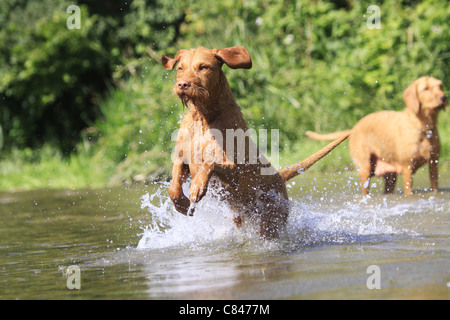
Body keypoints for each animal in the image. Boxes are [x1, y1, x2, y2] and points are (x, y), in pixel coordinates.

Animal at [162, 46, 348, 239]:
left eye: (203, 67)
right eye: (180, 68)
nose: (182, 84)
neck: (204, 118)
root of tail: (279, 175)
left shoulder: (235, 170)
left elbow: (209, 163)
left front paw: (197, 186)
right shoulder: (182, 158)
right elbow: (173, 187)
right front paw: (181, 203)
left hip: (271, 220)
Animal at [306, 76, 446, 196]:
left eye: (440, 86)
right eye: (426, 88)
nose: (444, 97)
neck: (424, 128)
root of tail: (354, 129)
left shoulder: (434, 164)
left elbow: (435, 187)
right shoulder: (407, 168)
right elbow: (408, 191)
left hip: (390, 175)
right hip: (365, 169)